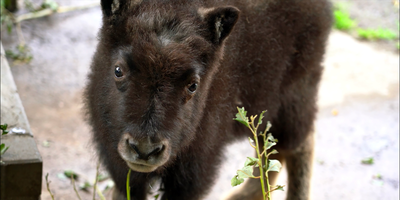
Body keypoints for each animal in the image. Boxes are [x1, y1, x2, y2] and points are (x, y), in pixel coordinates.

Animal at [86, 0, 332, 199]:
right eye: (118, 70)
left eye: (193, 85)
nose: (145, 150)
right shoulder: (121, 167)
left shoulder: (193, 173)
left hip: (294, 96)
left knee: (295, 144)